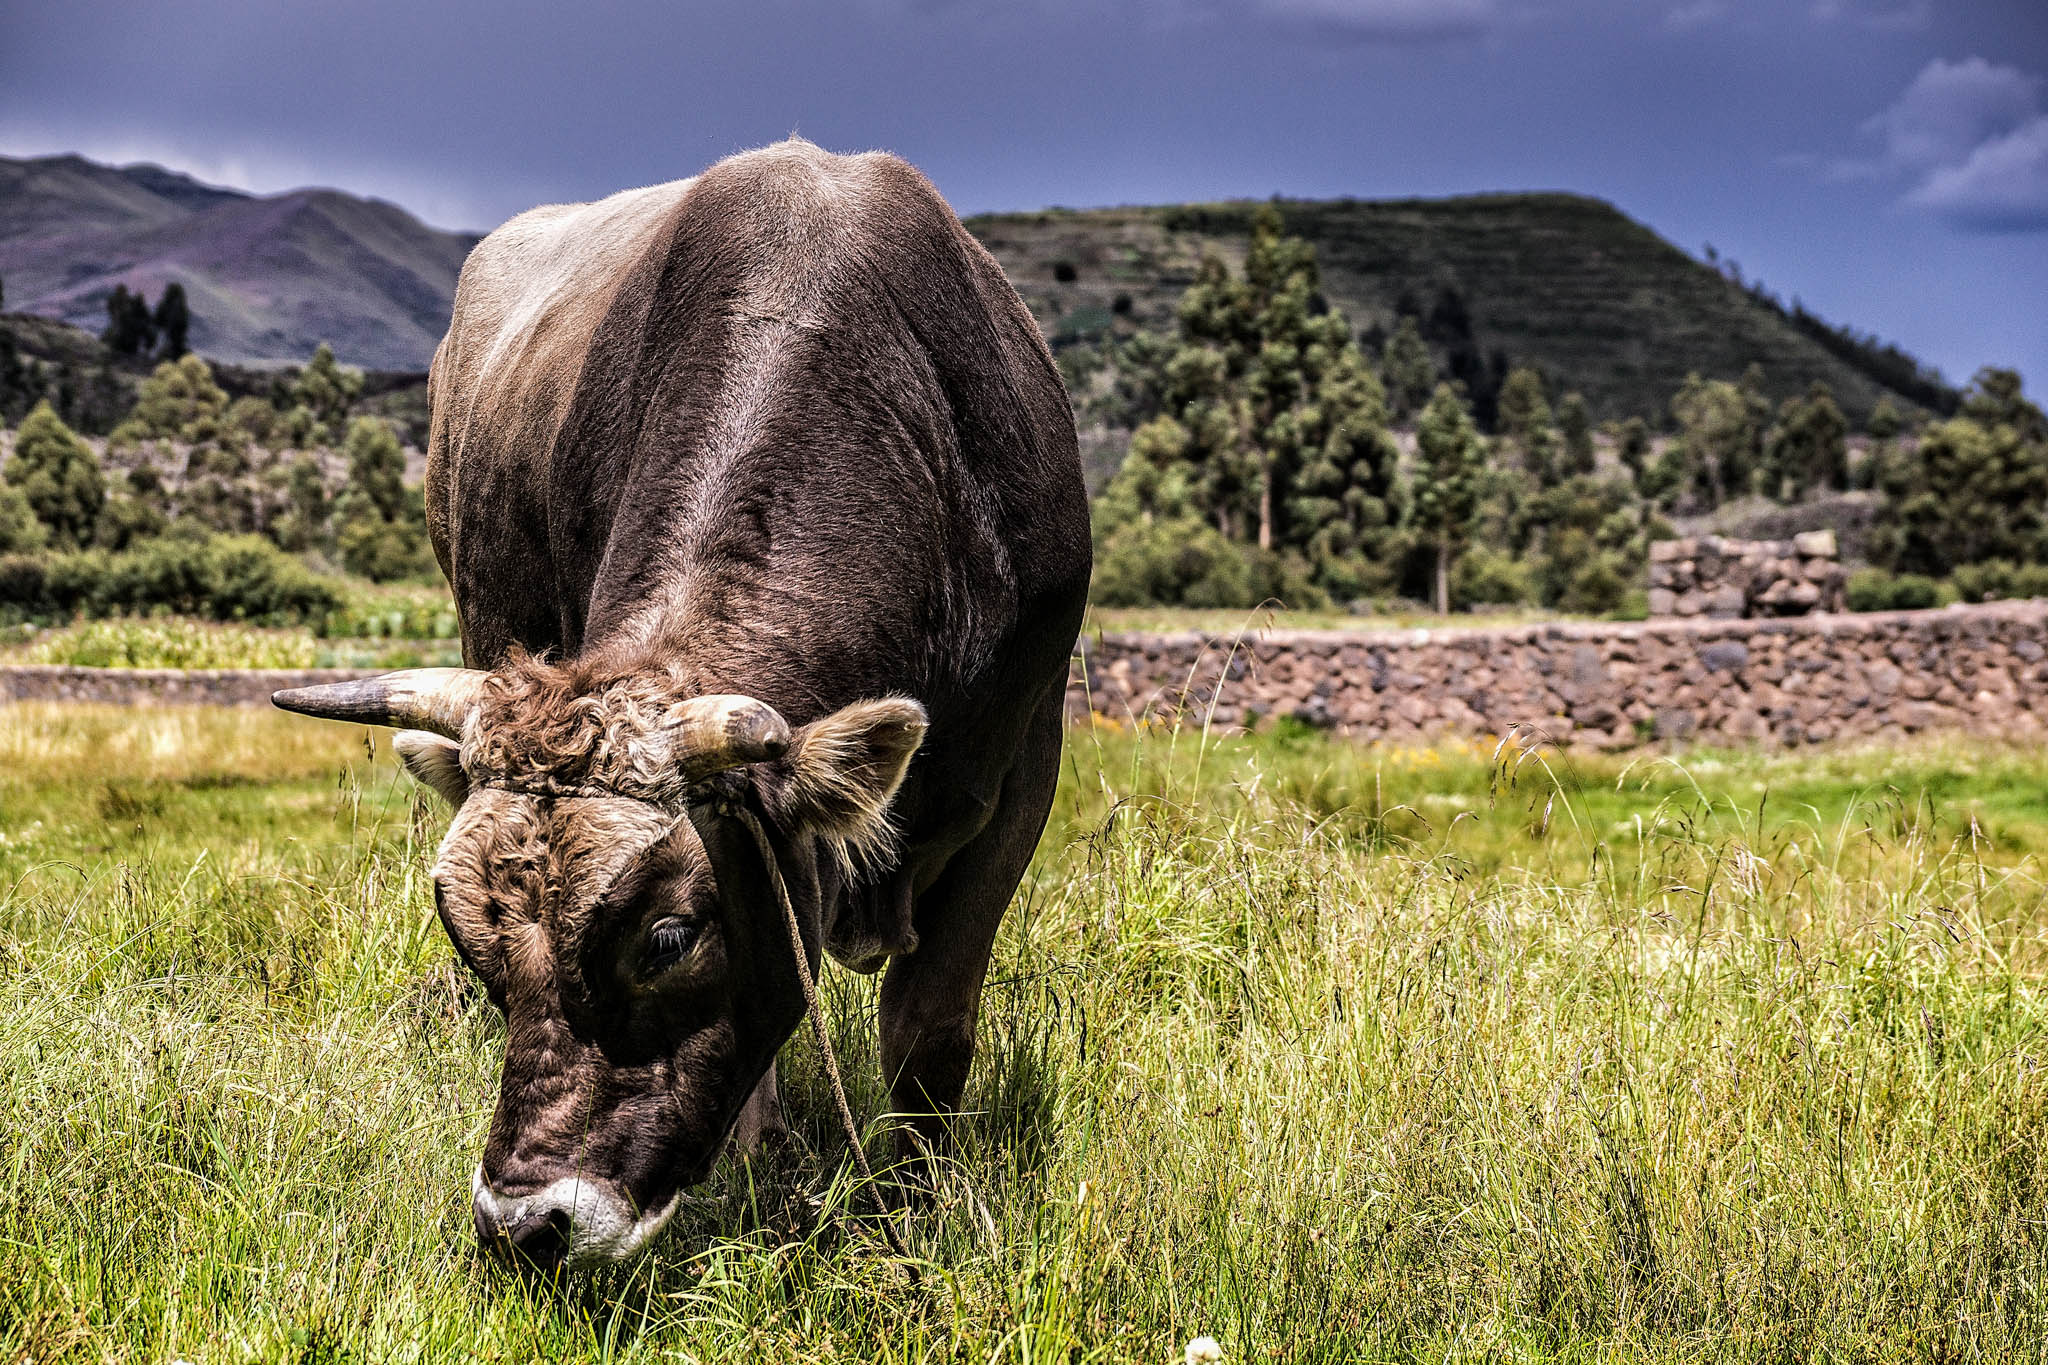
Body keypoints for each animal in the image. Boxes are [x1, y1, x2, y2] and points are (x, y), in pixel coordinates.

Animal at [273, 139, 1091, 1272]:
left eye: (665, 937)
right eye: (469, 939)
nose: (525, 1225)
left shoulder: (1019, 775)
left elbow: (929, 1029)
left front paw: (915, 1211)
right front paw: (760, 1161)